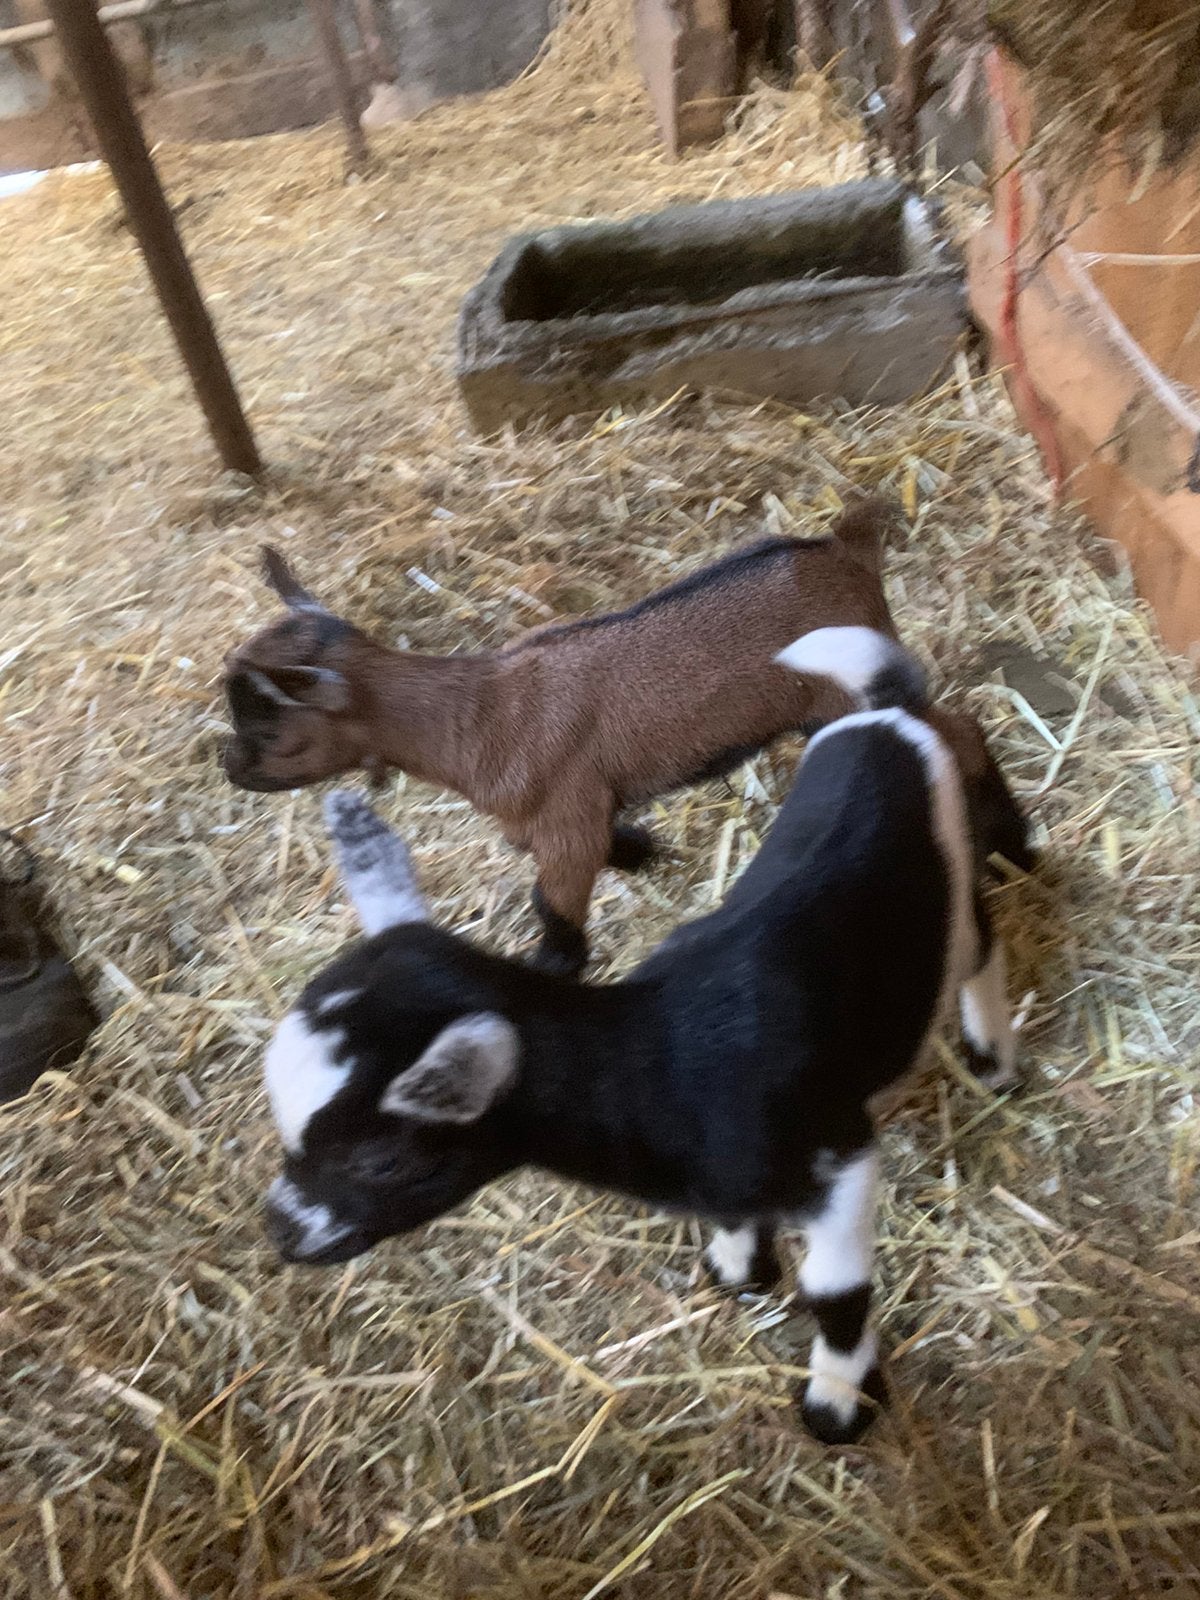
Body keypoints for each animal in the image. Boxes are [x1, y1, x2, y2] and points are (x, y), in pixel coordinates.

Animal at [223, 500, 1032, 975]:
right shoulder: (556, 813)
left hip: (850, 687)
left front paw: (551, 970)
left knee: (957, 730)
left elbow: (553, 902)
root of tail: (845, 546)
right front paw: (644, 851)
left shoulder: (564, 819)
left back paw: (1014, 845)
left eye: (270, 727)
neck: (477, 715)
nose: (231, 770)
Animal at [260, 626, 1019, 1444]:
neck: (661, 1070)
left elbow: (835, 1291)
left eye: (384, 1160)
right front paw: (739, 1269)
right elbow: (734, 1221)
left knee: (984, 943)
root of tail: (887, 716)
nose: (281, 1231)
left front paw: (838, 1401)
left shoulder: (838, 1158)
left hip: (952, 883)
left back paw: (993, 1055)